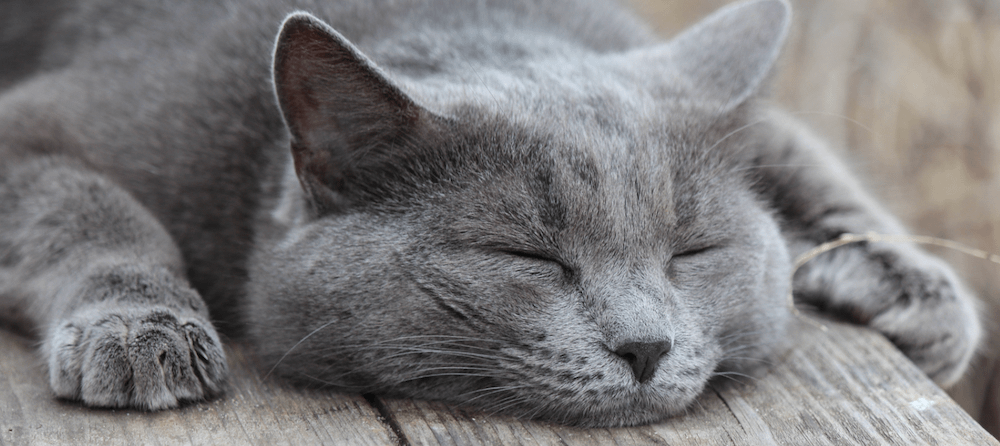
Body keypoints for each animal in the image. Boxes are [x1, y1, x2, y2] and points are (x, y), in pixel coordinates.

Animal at [0, 0, 984, 426]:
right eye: (525, 258)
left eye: (694, 252)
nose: (646, 347)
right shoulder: (33, 119)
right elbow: (88, 207)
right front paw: (138, 328)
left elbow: (803, 153)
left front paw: (915, 291)